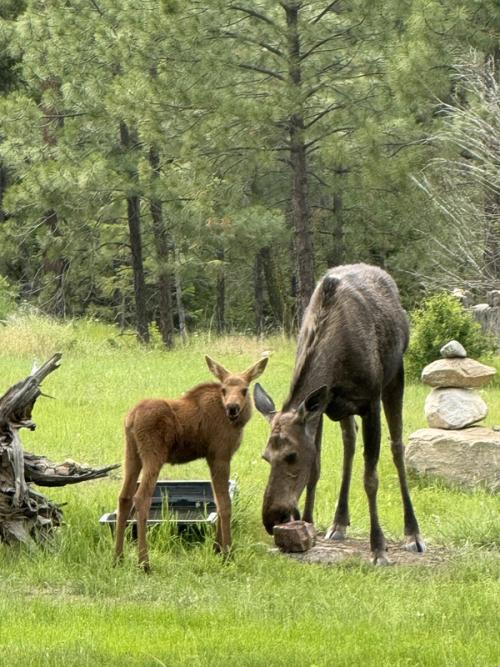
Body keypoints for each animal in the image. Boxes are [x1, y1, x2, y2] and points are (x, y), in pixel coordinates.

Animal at [114, 354, 268, 571]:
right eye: (224, 390)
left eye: (244, 390)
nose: (233, 408)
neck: (238, 423)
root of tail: (132, 417)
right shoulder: (220, 455)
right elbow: (225, 504)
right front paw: (228, 554)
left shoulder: (211, 458)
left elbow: (217, 501)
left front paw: (216, 548)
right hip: (154, 455)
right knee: (141, 498)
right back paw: (144, 562)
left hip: (132, 454)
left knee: (124, 497)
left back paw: (117, 558)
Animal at [254, 264, 425, 565]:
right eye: (265, 457)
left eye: (291, 455)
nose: (273, 517)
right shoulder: (321, 406)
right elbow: (316, 468)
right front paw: (308, 527)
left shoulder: (370, 401)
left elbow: (371, 478)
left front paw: (378, 547)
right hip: (342, 409)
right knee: (349, 441)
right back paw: (339, 522)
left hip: (397, 375)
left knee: (397, 446)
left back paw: (412, 533)